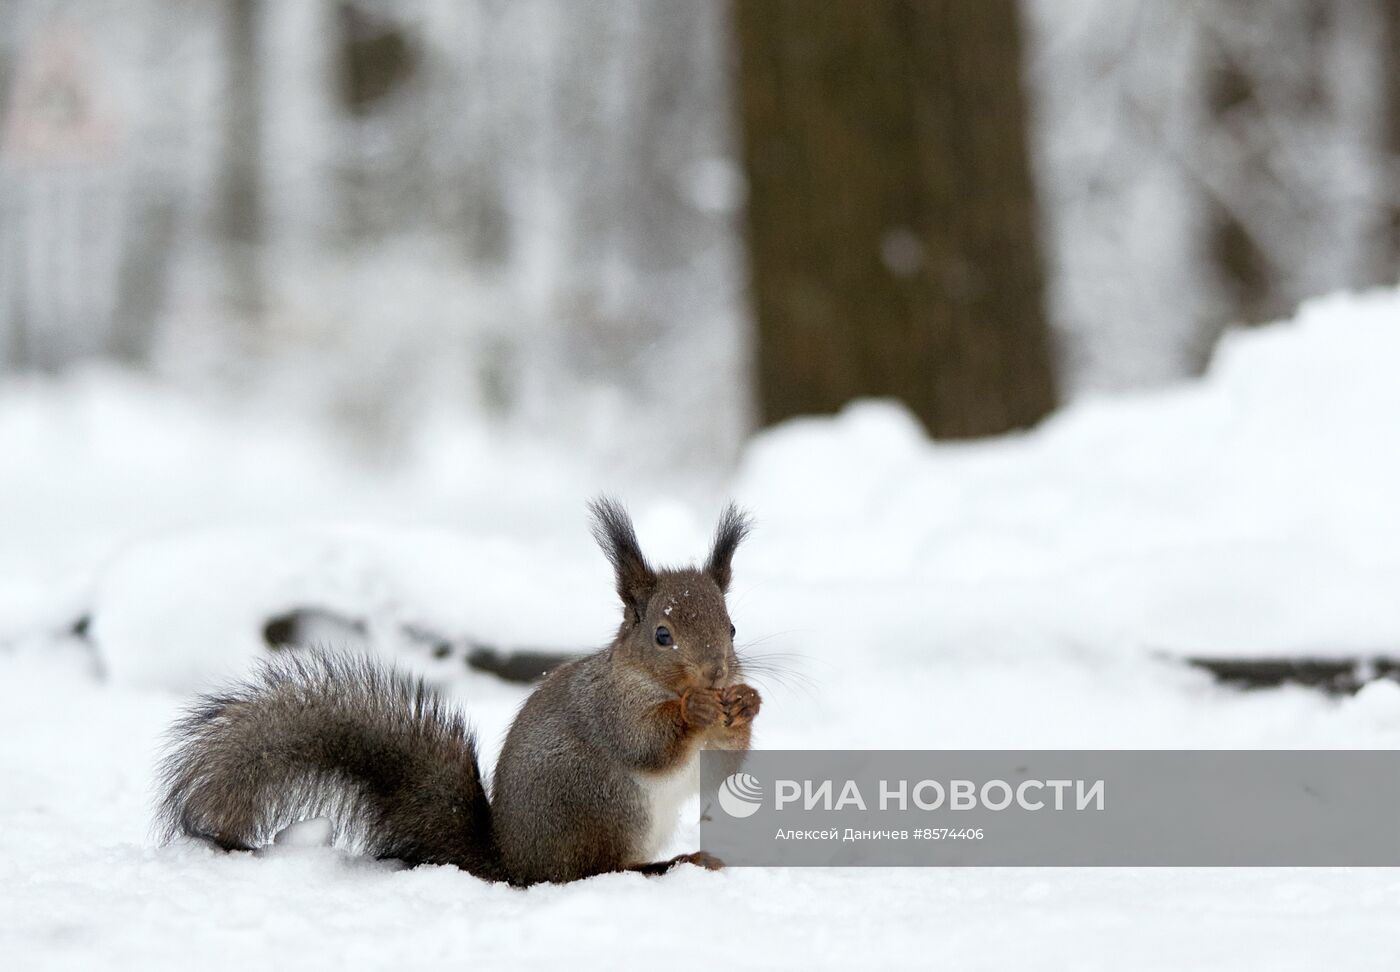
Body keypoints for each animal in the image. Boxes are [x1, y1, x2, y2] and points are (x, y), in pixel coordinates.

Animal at [157, 498, 761, 885]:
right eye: (662, 635)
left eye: (732, 628)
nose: (715, 674)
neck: (640, 676)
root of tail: (513, 863)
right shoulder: (608, 709)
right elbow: (646, 743)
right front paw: (694, 707)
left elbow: (725, 765)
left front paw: (746, 704)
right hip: (602, 805)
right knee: (588, 871)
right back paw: (666, 865)